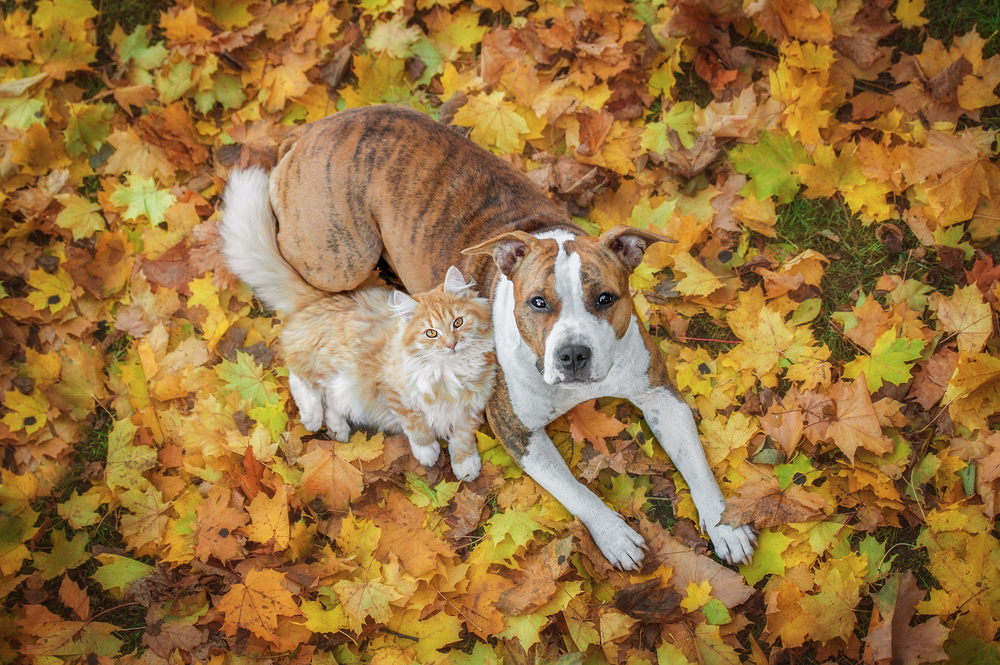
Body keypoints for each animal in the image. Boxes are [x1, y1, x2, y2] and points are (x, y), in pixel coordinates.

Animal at [222, 166, 496, 478]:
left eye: (458, 323)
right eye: (430, 333)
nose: (451, 345)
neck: (449, 375)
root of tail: (322, 297)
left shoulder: (472, 407)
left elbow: (463, 437)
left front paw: (465, 465)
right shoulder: (393, 391)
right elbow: (417, 426)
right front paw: (428, 452)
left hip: (344, 387)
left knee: (330, 402)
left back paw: (337, 430)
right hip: (330, 363)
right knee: (299, 376)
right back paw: (312, 417)